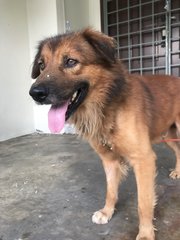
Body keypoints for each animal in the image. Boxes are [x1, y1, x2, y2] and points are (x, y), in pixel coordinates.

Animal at [29, 28, 180, 240]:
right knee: (178, 150)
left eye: (70, 62)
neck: (107, 107)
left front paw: (145, 233)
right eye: (41, 65)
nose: (35, 93)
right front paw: (107, 212)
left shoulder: (143, 159)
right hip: (167, 134)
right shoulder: (109, 159)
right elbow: (110, 190)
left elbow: (143, 203)